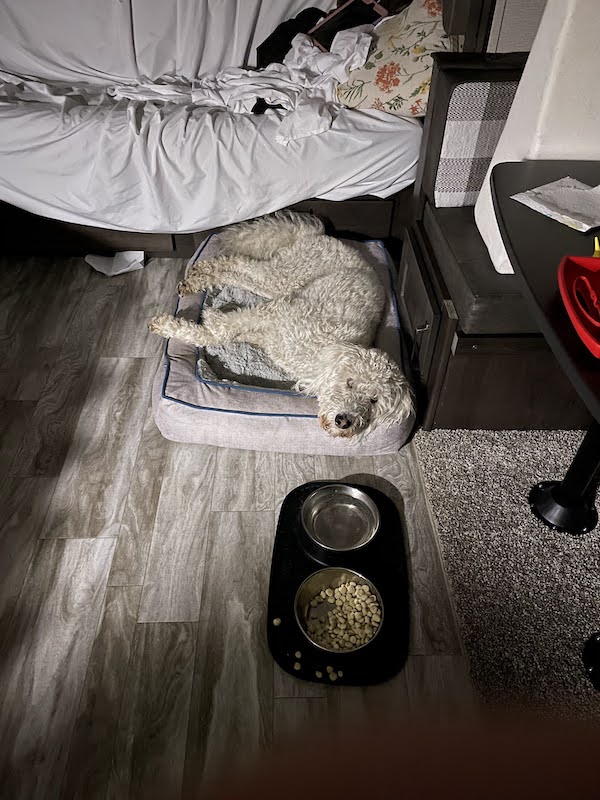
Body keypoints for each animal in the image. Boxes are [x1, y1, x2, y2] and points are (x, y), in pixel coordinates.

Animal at [149, 212, 412, 438]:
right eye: (349, 382)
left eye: (374, 401)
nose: (344, 421)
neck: (324, 351)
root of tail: (320, 236)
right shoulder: (275, 312)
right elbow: (222, 329)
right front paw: (171, 325)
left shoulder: (268, 329)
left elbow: (226, 332)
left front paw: (206, 321)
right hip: (285, 276)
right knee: (239, 261)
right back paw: (197, 277)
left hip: (275, 285)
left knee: (238, 272)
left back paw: (199, 277)